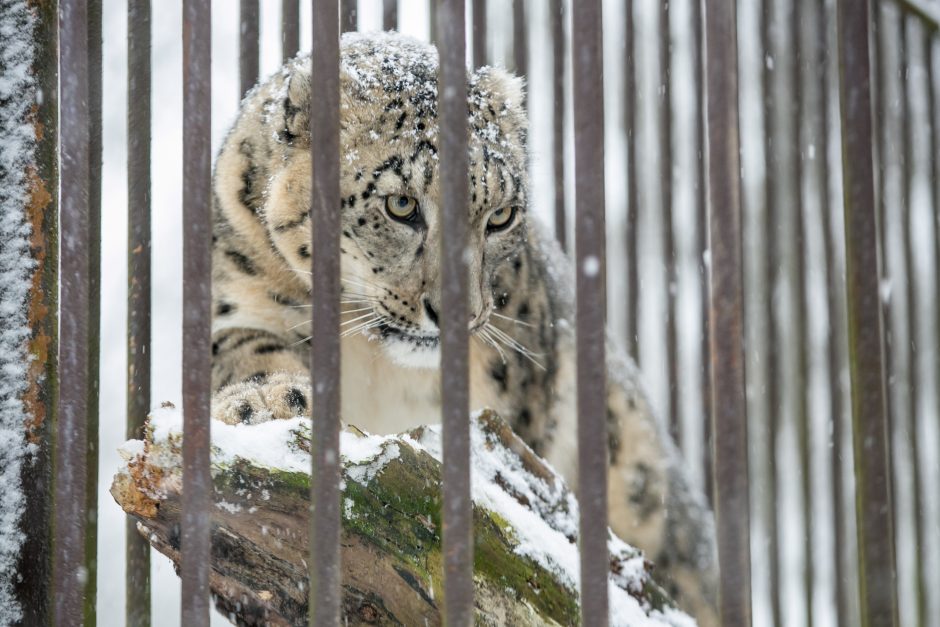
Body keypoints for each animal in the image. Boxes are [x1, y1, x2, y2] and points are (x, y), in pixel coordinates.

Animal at [209, 33, 716, 624]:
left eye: (500, 216)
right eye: (401, 204)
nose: (460, 310)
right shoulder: (240, 297)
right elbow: (247, 349)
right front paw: (268, 401)